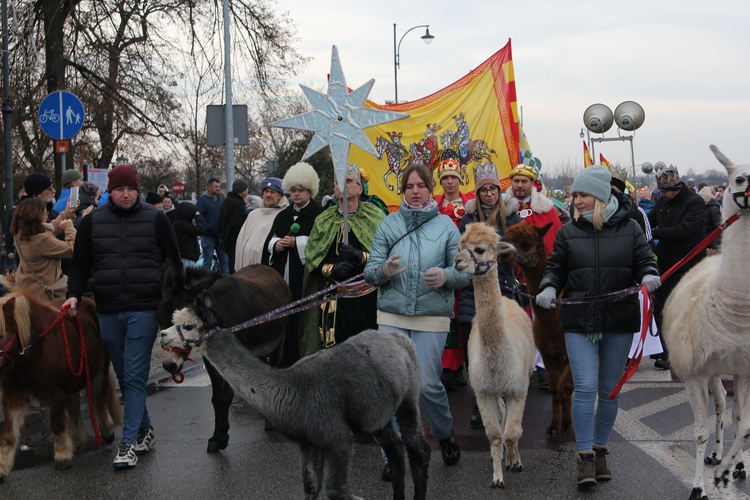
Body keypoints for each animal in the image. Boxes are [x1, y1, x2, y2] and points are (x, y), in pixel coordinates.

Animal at [0, 292, 119, 482]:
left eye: (1, 334)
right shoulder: (13, 396)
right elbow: (8, 434)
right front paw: (3, 468)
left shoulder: (54, 391)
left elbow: (56, 424)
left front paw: (62, 457)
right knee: (74, 405)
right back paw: (77, 439)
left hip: (98, 370)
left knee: (99, 398)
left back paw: (106, 432)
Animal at [502, 223, 572, 438]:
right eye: (505, 237)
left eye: (525, 244)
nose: (502, 254)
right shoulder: (550, 353)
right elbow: (555, 390)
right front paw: (554, 426)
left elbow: (565, 387)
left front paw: (566, 427)